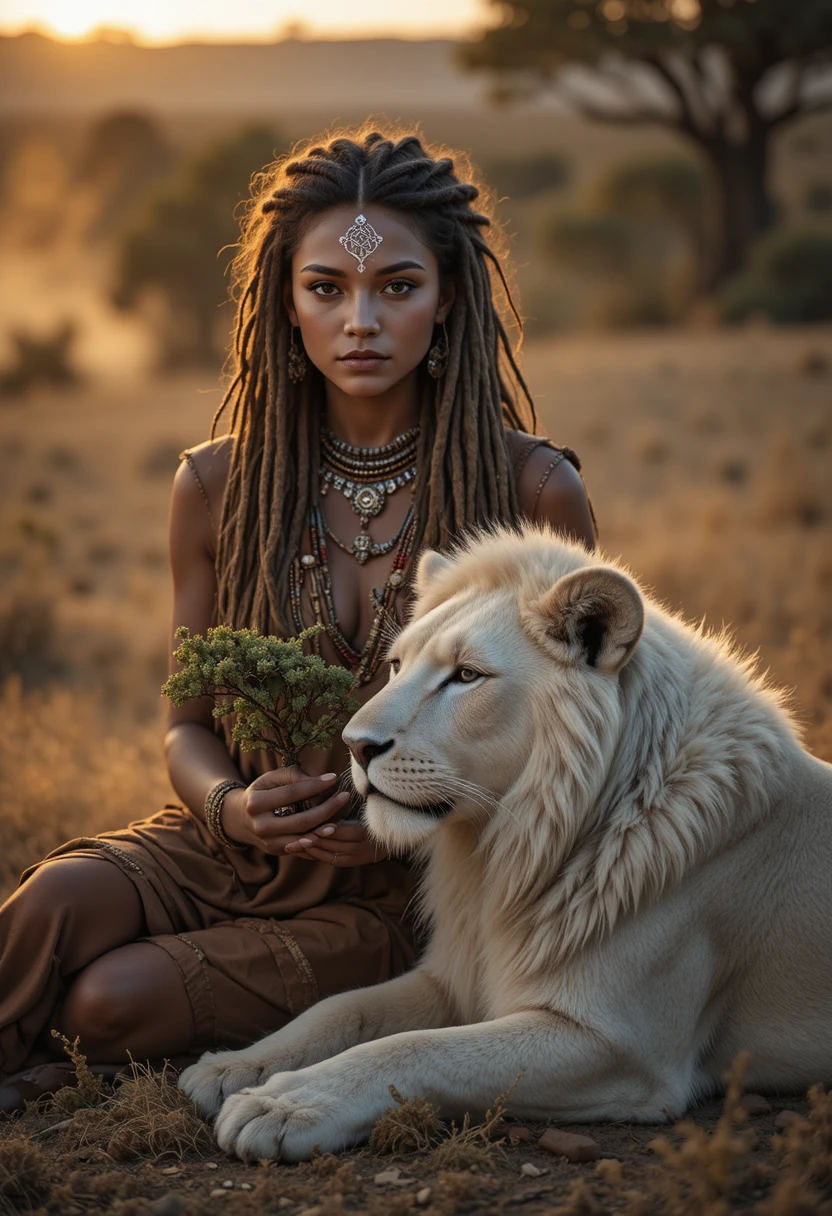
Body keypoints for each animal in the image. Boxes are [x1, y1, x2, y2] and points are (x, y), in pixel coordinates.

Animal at [180, 525, 832, 1162]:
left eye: (466, 676)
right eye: (396, 666)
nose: (355, 746)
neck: (506, 847)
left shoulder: (623, 1049)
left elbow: (412, 1049)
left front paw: (283, 1104)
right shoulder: (456, 976)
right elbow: (341, 1007)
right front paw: (230, 1068)